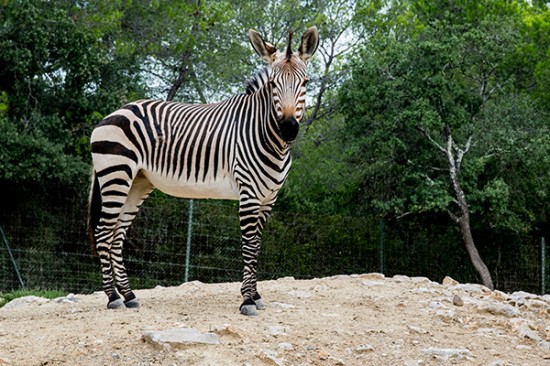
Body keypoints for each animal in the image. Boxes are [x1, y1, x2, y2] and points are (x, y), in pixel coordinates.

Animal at [86, 27, 320, 316]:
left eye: (306, 82)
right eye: (273, 85)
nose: (288, 128)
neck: (267, 136)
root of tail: (112, 114)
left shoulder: (269, 198)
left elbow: (256, 246)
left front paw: (255, 295)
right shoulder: (249, 194)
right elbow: (248, 246)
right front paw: (247, 300)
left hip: (137, 183)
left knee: (117, 236)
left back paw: (129, 295)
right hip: (116, 175)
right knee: (103, 233)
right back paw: (112, 297)